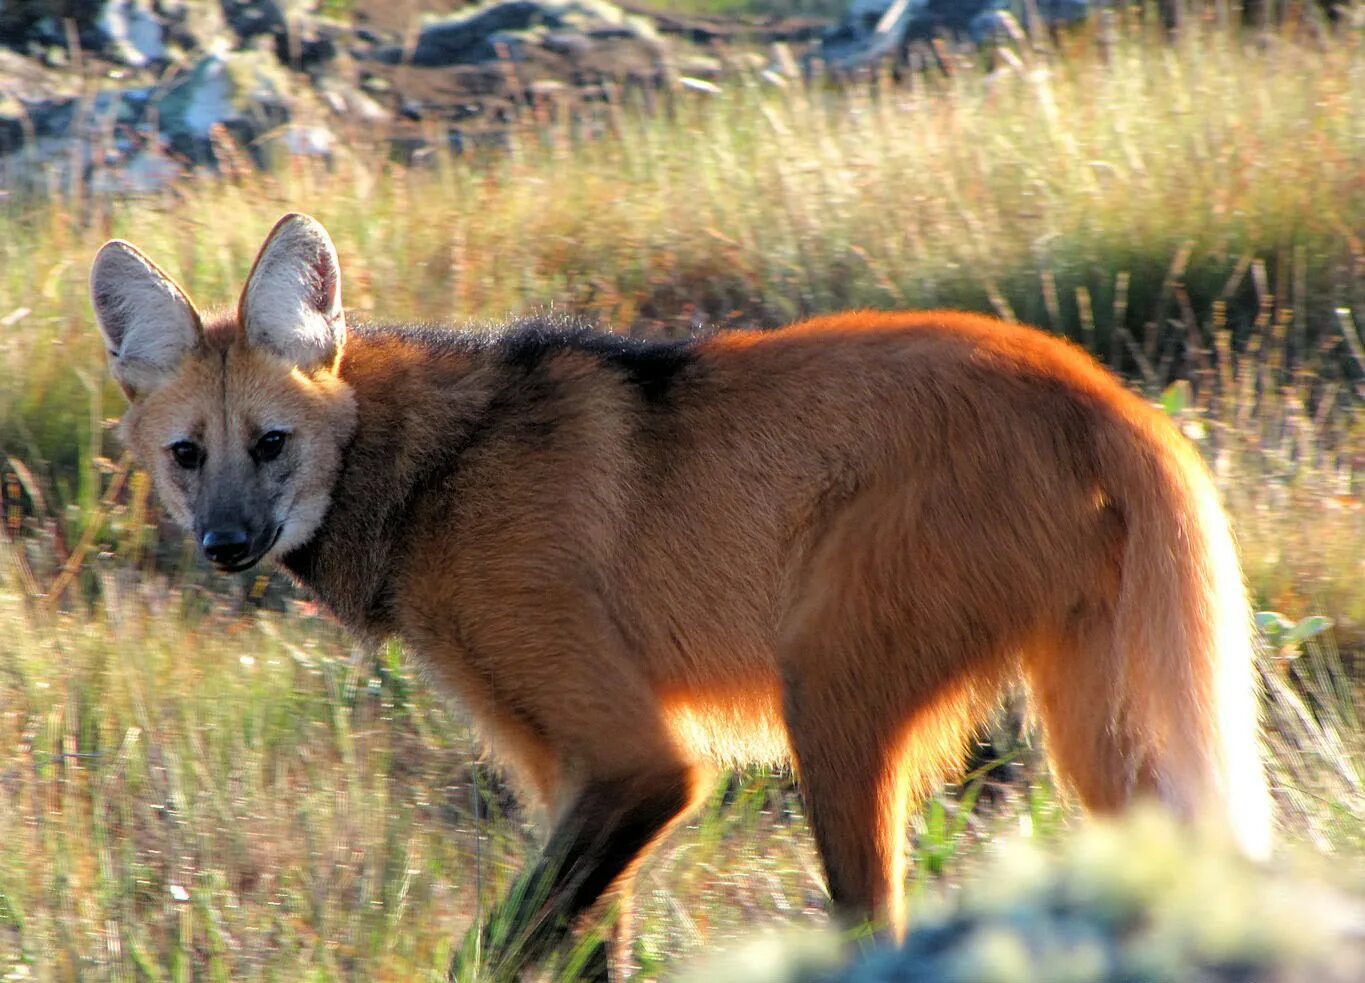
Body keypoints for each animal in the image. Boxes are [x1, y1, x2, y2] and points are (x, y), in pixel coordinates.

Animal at [90, 212, 1272, 977]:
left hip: (828, 690)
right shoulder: (564, 766)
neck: (432, 469)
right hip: (1091, 723)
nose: (226, 544)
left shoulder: (634, 758)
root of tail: (1109, 395)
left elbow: (505, 940)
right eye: (189, 454)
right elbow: (582, 941)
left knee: (875, 921)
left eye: (271, 443)